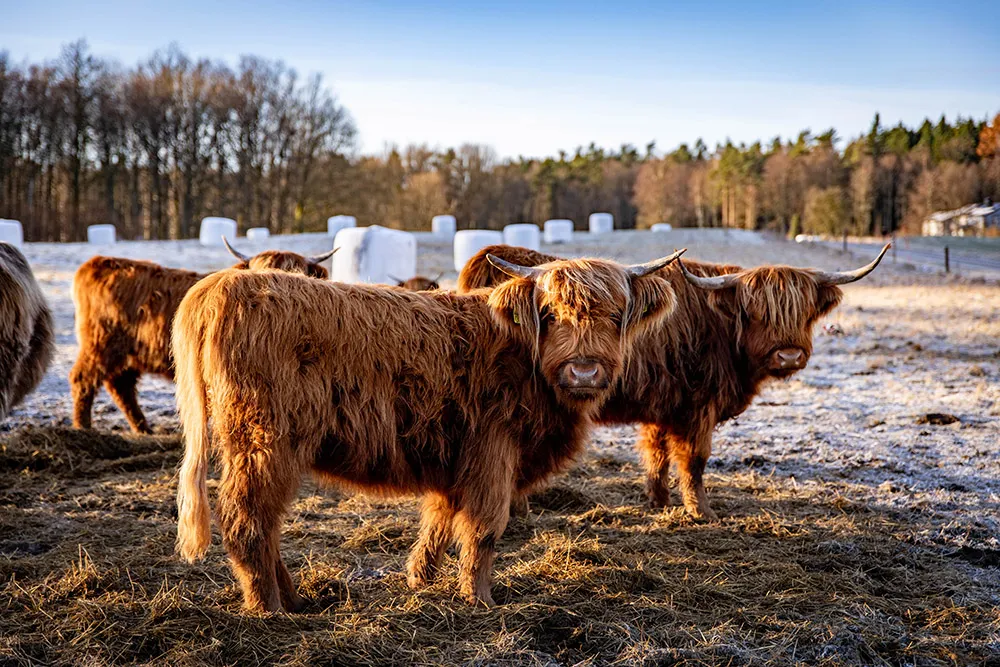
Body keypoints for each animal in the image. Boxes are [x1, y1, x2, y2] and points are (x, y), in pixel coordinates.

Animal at [70, 239, 336, 433]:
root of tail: (99, 262)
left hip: (128, 354)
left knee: (121, 386)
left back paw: (143, 429)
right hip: (101, 343)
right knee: (84, 379)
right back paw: (83, 428)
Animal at [173, 250, 686, 611]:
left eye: (616, 317)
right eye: (551, 314)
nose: (583, 371)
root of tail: (222, 284)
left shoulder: (455, 458)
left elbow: (440, 520)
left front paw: (420, 578)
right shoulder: (492, 453)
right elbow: (483, 530)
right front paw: (480, 600)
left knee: (267, 521)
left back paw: (296, 600)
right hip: (264, 441)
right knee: (248, 519)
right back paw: (269, 608)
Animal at [459, 243, 889, 520]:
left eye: (804, 311)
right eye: (756, 312)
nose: (788, 356)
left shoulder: (664, 405)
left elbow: (657, 453)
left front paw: (659, 500)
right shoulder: (698, 406)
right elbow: (694, 461)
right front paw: (702, 512)